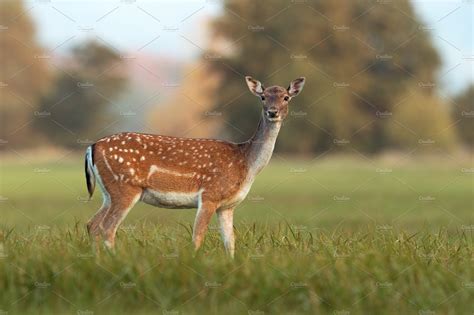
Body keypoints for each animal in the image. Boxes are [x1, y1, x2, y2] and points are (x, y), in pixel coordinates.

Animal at [84, 76, 308, 256]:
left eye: (286, 97)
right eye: (263, 97)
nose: (272, 112)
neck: (246, 163)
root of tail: (92, 147)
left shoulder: (227, 206)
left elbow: (230, 242)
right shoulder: (209, 195)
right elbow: (197, 237)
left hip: (108, 193)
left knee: (92, 225)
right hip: (125, 187)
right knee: (107, 227)